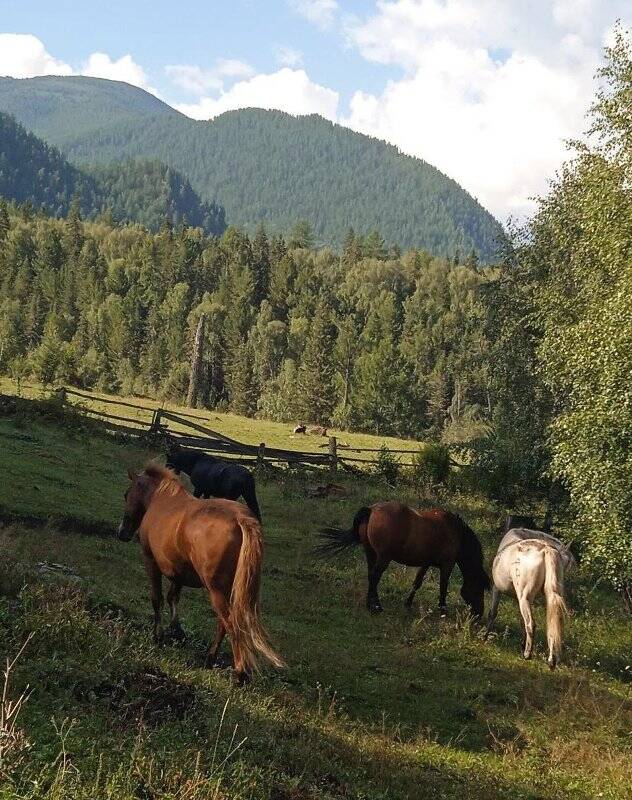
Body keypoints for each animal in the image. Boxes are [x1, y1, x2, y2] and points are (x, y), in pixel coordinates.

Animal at [118, 462, 284, 680]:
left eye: (126, 494)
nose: (122, 532)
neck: (160, 499)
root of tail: (241, 519)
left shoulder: (150, 561)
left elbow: (157, 598)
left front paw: (158, 635)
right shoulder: (177, 571)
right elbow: (172, 597)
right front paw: (176, 630)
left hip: (216, 589)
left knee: (230, 622)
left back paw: (240, 671)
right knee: (224, 623)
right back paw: (211, 658)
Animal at [318, 500, 492, 620]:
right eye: (479, 589)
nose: (479, 614)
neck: (456, 532)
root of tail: (372, 510)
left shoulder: (426, 563)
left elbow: (417, 583)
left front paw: (408, 603)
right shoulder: (447, 564)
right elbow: (443, 586)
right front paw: (443, 610)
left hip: (370, 553)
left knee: (371, 576)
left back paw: (372, 604)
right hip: (384, 558)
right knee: (374, 577)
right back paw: (376, 607)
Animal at [484, 524, 576, 668]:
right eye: (566, 562)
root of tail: (545, 549)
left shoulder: (496, 589)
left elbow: (492, 613)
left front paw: (484, 637)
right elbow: (522, 621)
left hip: (524, 598)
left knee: (531, 624)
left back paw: (527, 654)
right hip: (547, 599)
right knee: (553, 623)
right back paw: (551, 661)